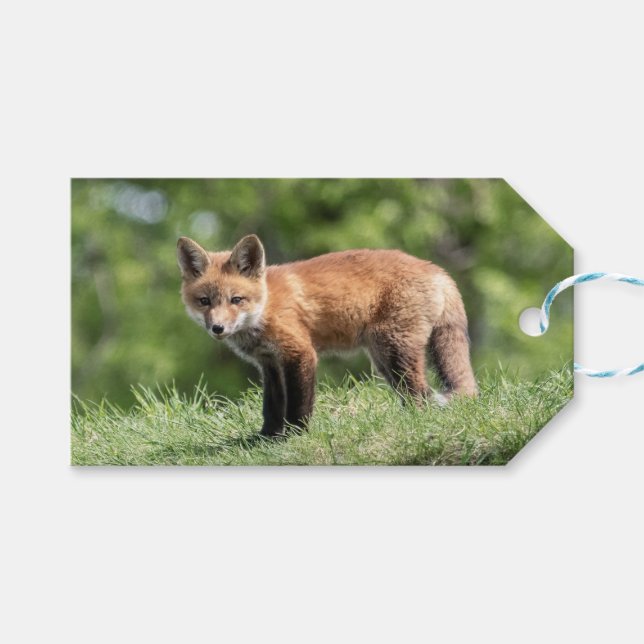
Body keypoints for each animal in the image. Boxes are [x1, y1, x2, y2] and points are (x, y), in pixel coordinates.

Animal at [177, 234, 478, 437]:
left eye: (236, 299)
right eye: (204, 301)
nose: (218, 328)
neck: (265, 307)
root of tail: (437, 270)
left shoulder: (300, 353)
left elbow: (299, 403)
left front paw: (295, 436)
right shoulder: (269, 363)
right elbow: (272, 406)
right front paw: (266, 438)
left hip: (394, 350)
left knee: (421, 395)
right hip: (383, 358)